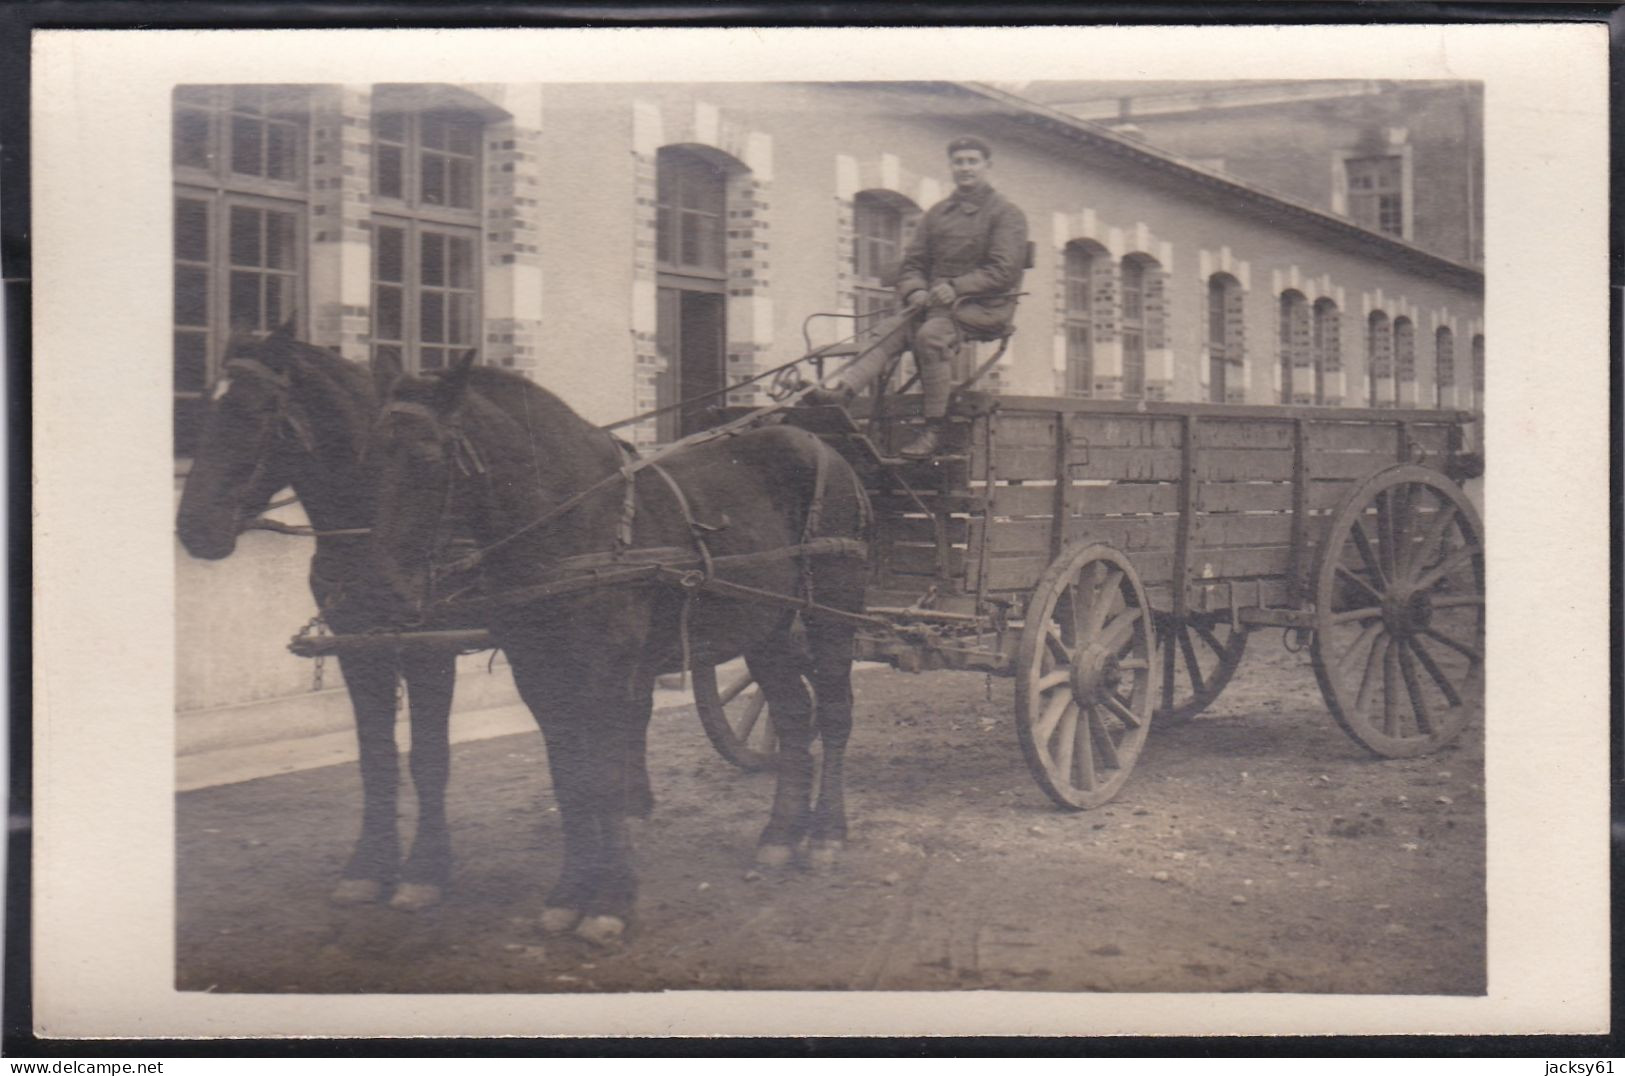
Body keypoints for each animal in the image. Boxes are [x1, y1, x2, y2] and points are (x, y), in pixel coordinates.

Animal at [174, 325, 461, 916]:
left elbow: (428, 756)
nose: (193, 529)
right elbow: (375, 756)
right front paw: (369, 866)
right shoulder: (356, 647)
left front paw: (425, 869)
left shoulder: (431, 648)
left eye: (258, 411)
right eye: (207, 403)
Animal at [368, 352, 877, 942]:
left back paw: (826, 834)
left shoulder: (607, 678)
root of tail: (824, 449)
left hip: (830, 613)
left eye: (427, 458)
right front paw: (569, 894)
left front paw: (611, 900)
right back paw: (778, 836)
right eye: (370, 456)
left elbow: (607, 779)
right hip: (763, 626)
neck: (574, 523)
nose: (384, 592)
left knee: (835, 714)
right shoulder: (539, 677)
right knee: (794, 716)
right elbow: (570, 781)